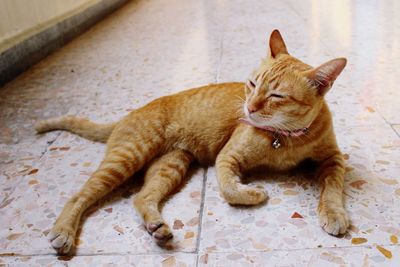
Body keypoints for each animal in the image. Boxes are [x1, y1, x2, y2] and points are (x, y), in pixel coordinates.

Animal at [35, 29, 346, 255]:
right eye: (252, 84)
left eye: (277, 96)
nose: (248, 108)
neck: (284, 138)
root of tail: (127, 115)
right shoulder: (227, 157)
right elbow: (229, 190)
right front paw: (253, 193)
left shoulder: (333, 160)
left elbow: (332, 188)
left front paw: (334, 213)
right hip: (128, 157)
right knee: (79, 195)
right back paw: (62, 232)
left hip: (170, 165)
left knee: (142, 196)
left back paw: (157, 227)